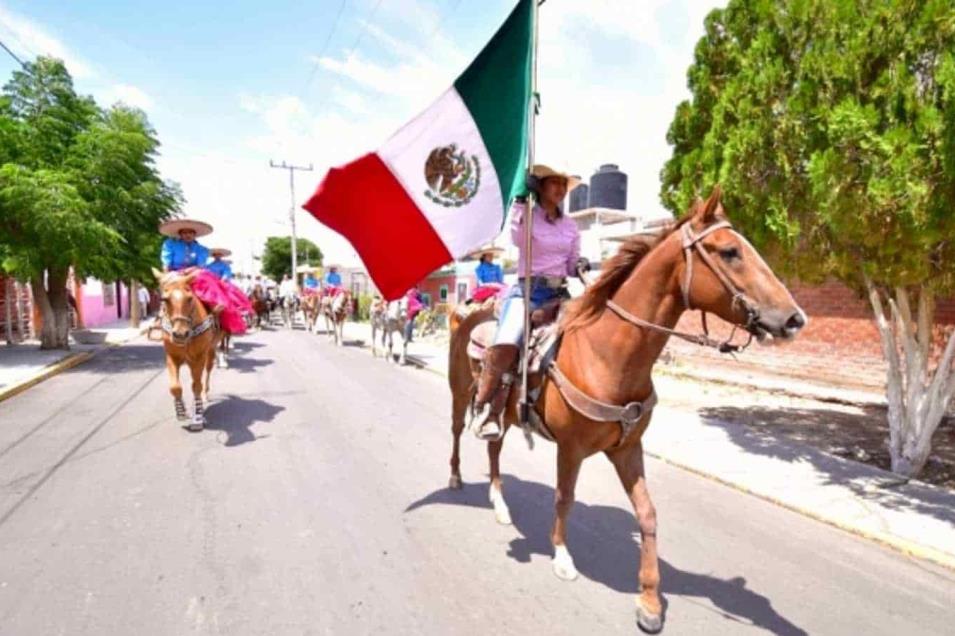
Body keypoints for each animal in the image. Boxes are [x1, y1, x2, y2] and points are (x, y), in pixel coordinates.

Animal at [155, 268, 222, 432]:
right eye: (164, 299)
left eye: (190, 298)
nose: (180, 334)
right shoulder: (171, 357)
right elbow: (175, 387)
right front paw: (181, 411)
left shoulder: (199, 357)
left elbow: (196, 386)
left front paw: (197, 416)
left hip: (210, 352)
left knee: (205, 375)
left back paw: (205, 396)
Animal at [448, 188, 808, 632]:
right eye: (729, 252)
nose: (793, 319)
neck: (607, 353)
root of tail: (469, 315)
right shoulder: (571, 448)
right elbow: (564, 498)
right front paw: (562, 557)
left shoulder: (627, 448)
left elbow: (648, 514)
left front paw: (650, 602)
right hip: (460, 394)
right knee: (457, 432)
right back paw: (456, 478)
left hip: (505, 417)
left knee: (494, 447)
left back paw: (499, 504)